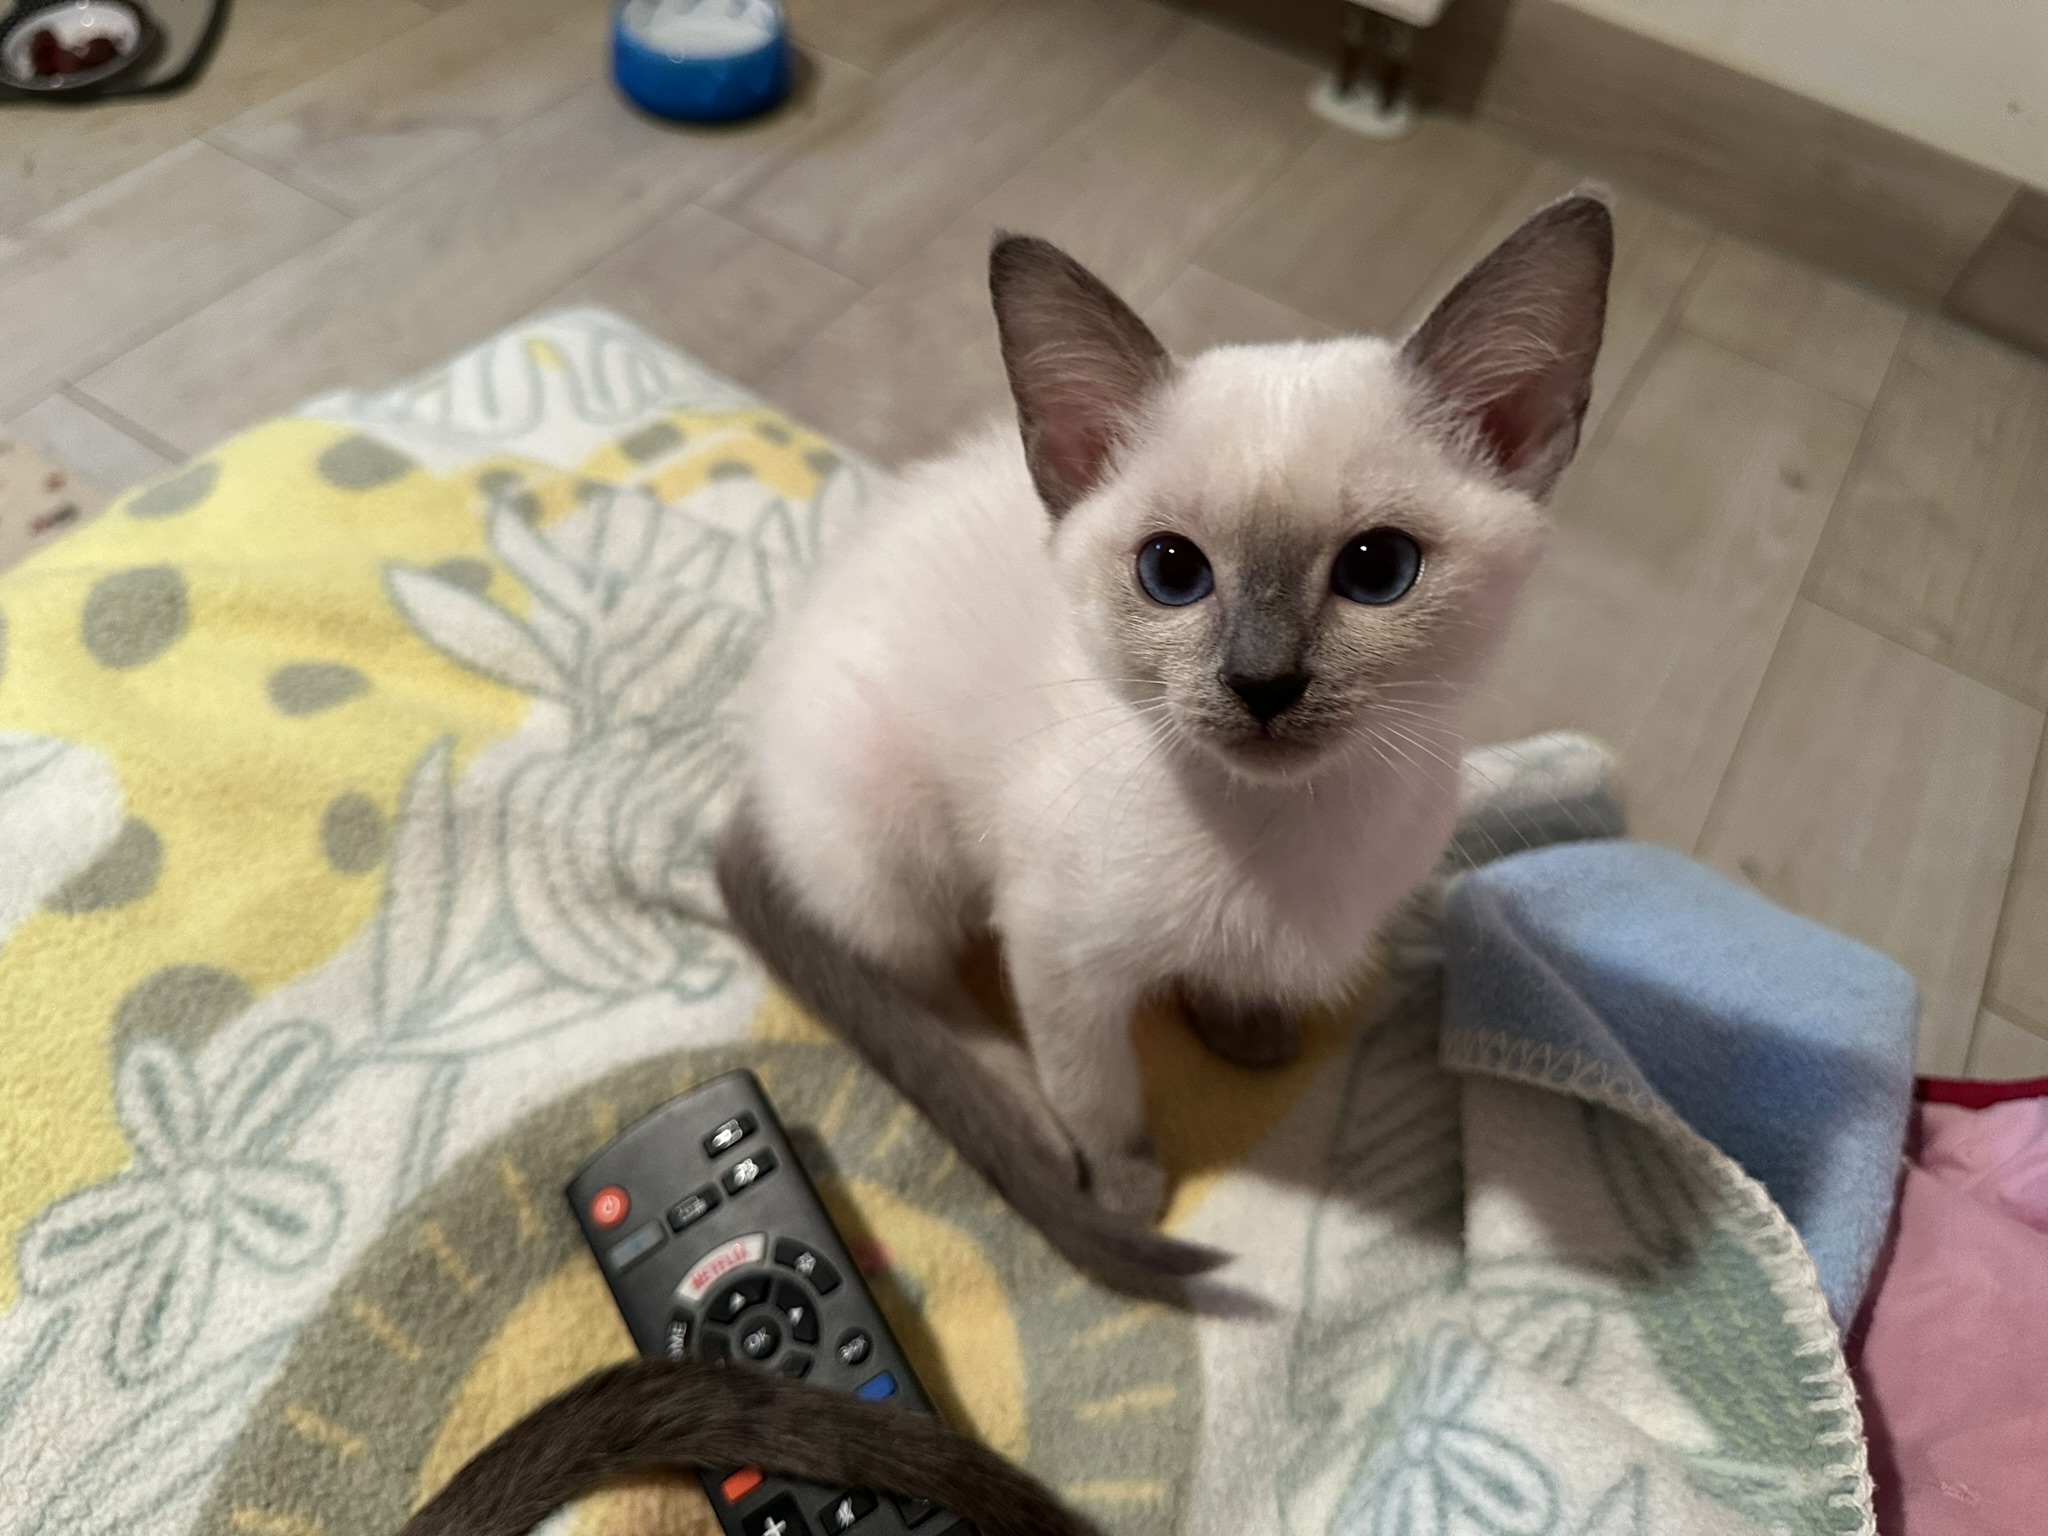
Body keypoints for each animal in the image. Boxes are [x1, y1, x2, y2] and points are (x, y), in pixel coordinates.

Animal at [719, 195, 1612, 1289]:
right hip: (894, 837)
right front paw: (1127, 1186)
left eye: (1377, 568)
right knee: (909, 981)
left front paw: (1248, 1032)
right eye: (1172, 572)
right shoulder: (1056, 952)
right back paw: (1017, 1105)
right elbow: (1098, 1092)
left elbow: (1235, 979)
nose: (1263, 683)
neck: (1278, 833)